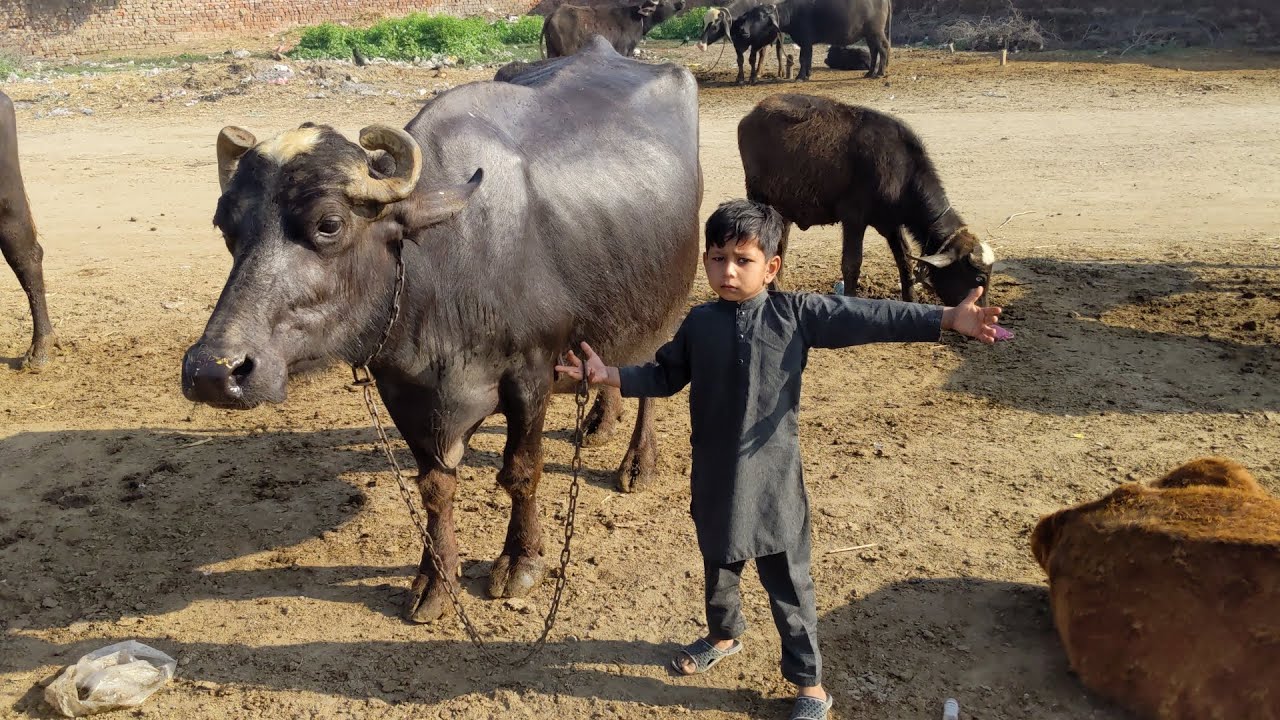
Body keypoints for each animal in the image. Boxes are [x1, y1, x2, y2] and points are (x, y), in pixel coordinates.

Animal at [182, 37, 702, 623]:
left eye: (329, 224)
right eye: (226, 227)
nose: (213, 371)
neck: (441, 265)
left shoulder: (532, 375)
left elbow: (521, 471)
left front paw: (521, 561)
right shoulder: (406, 391)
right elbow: (434, 487)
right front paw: (435, 579)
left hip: (667, 299)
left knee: (650, 377)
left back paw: (637, 462)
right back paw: (598, 422)